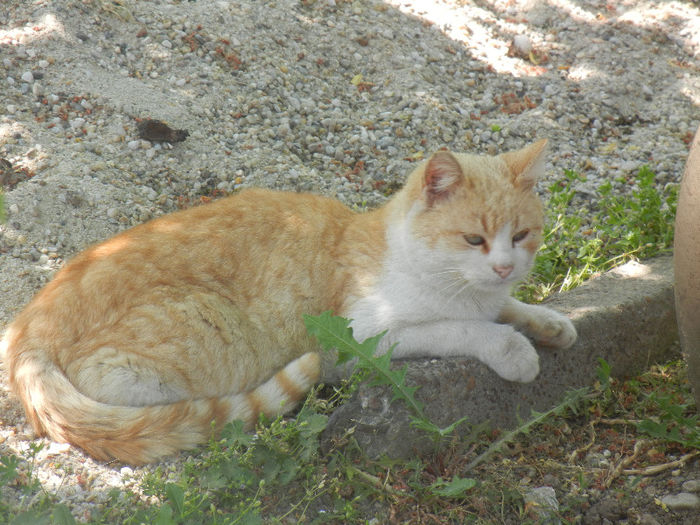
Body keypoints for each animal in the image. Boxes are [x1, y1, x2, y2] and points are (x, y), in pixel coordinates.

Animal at [1, 139, 576, 462]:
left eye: (522, 235)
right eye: (474, 240)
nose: (504, 267)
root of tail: (29, 325)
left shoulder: (488, 296)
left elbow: (508, 309)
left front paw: (548, 321)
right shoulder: (363, 338)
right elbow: (462, 329)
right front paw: (513, 348)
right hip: (202, 336)